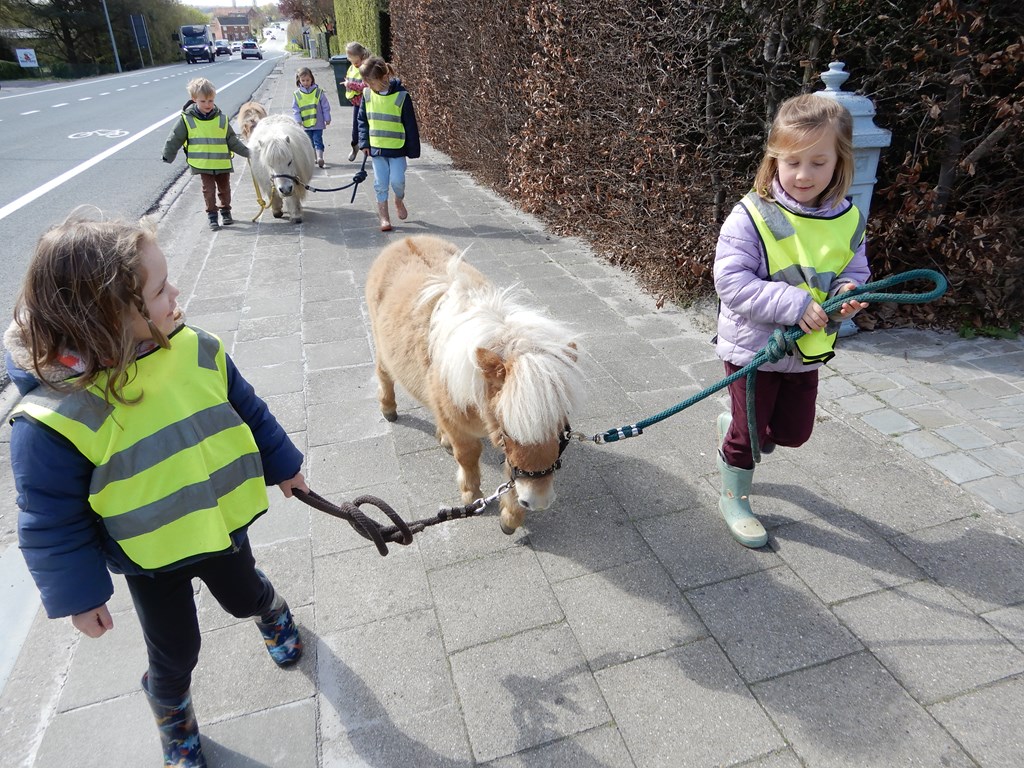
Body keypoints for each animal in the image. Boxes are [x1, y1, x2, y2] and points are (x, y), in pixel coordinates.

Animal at [365, 235, 584, 534]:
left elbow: (509, 472)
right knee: (384, 375)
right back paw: (388, 409)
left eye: (563, 431)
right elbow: (468, 455)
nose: (538, 501)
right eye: (507, 430)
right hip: (382, 351)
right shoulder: (461, 426)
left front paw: (510, 517)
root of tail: (405, 240)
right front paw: (472, 495)